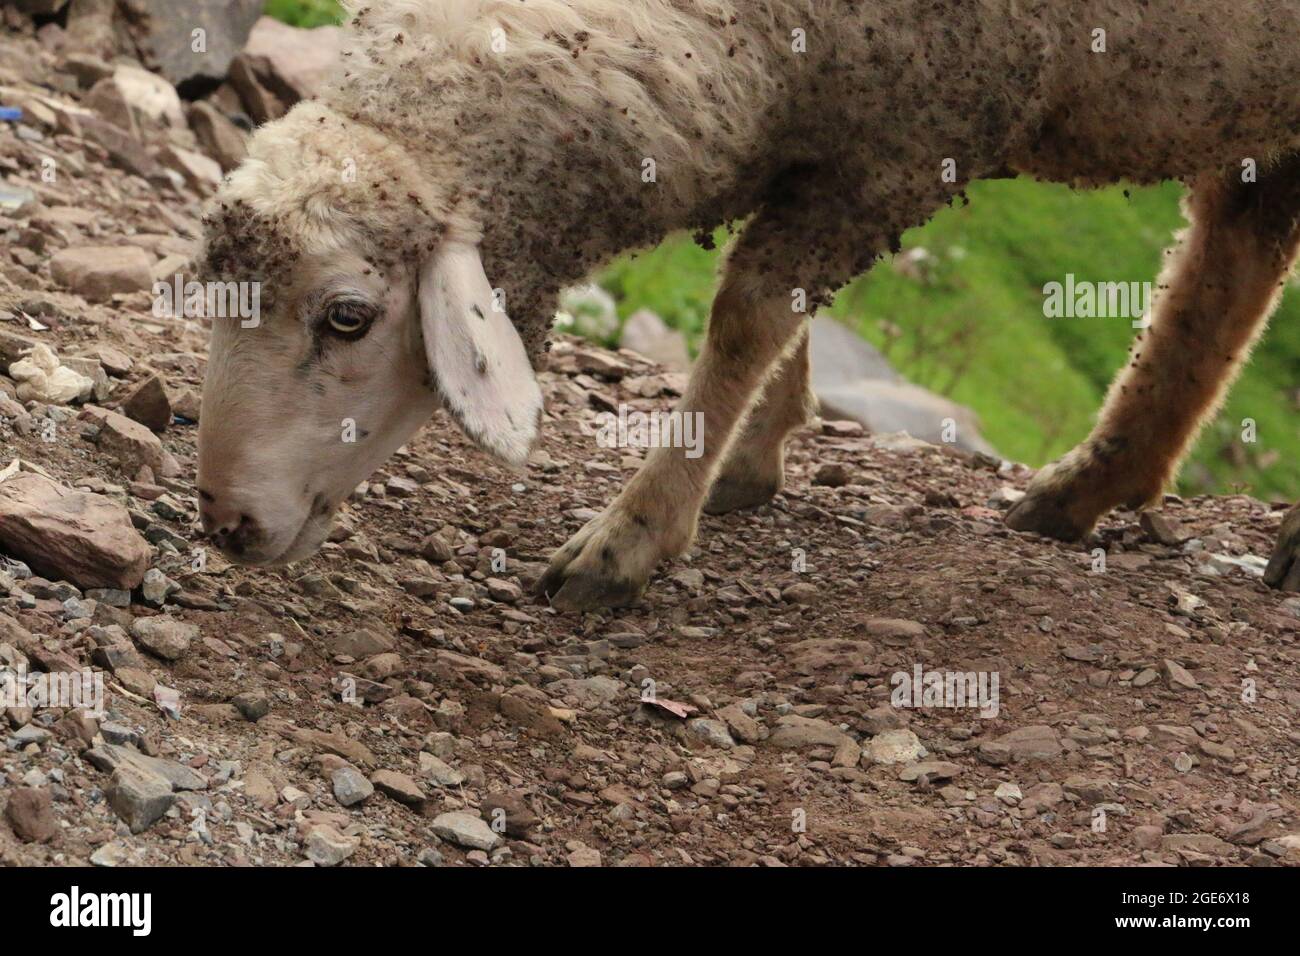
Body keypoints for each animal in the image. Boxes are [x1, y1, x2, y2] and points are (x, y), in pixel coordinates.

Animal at [195, 0, 1300, 608]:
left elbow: (750, 315)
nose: (228, 527)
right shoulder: (812, 115)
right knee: (1234, 252)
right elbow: (782, 313)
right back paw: (1091, 483)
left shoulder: (909, 138)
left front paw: (636, 532)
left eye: (348, 315)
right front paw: (751, 454)